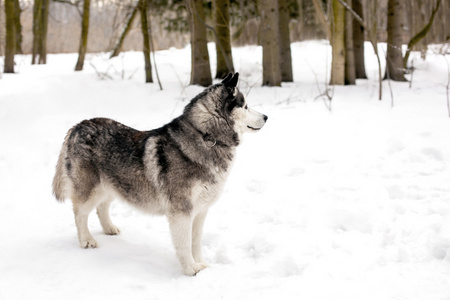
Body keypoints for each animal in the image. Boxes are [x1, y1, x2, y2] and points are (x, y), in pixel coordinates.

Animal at [53, 72, 268, 274]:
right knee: (80, 213)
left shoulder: (200, 211)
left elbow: (196, 241)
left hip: (114, 186)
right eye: (245, 106)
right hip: (92, 190)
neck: (207, 136)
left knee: (101, 207)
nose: (266, 117)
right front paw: (190, 269)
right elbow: (184, 244)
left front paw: (201, 264)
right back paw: (86, 240)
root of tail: (78, 126)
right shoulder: (182, 211)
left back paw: (109, 229)